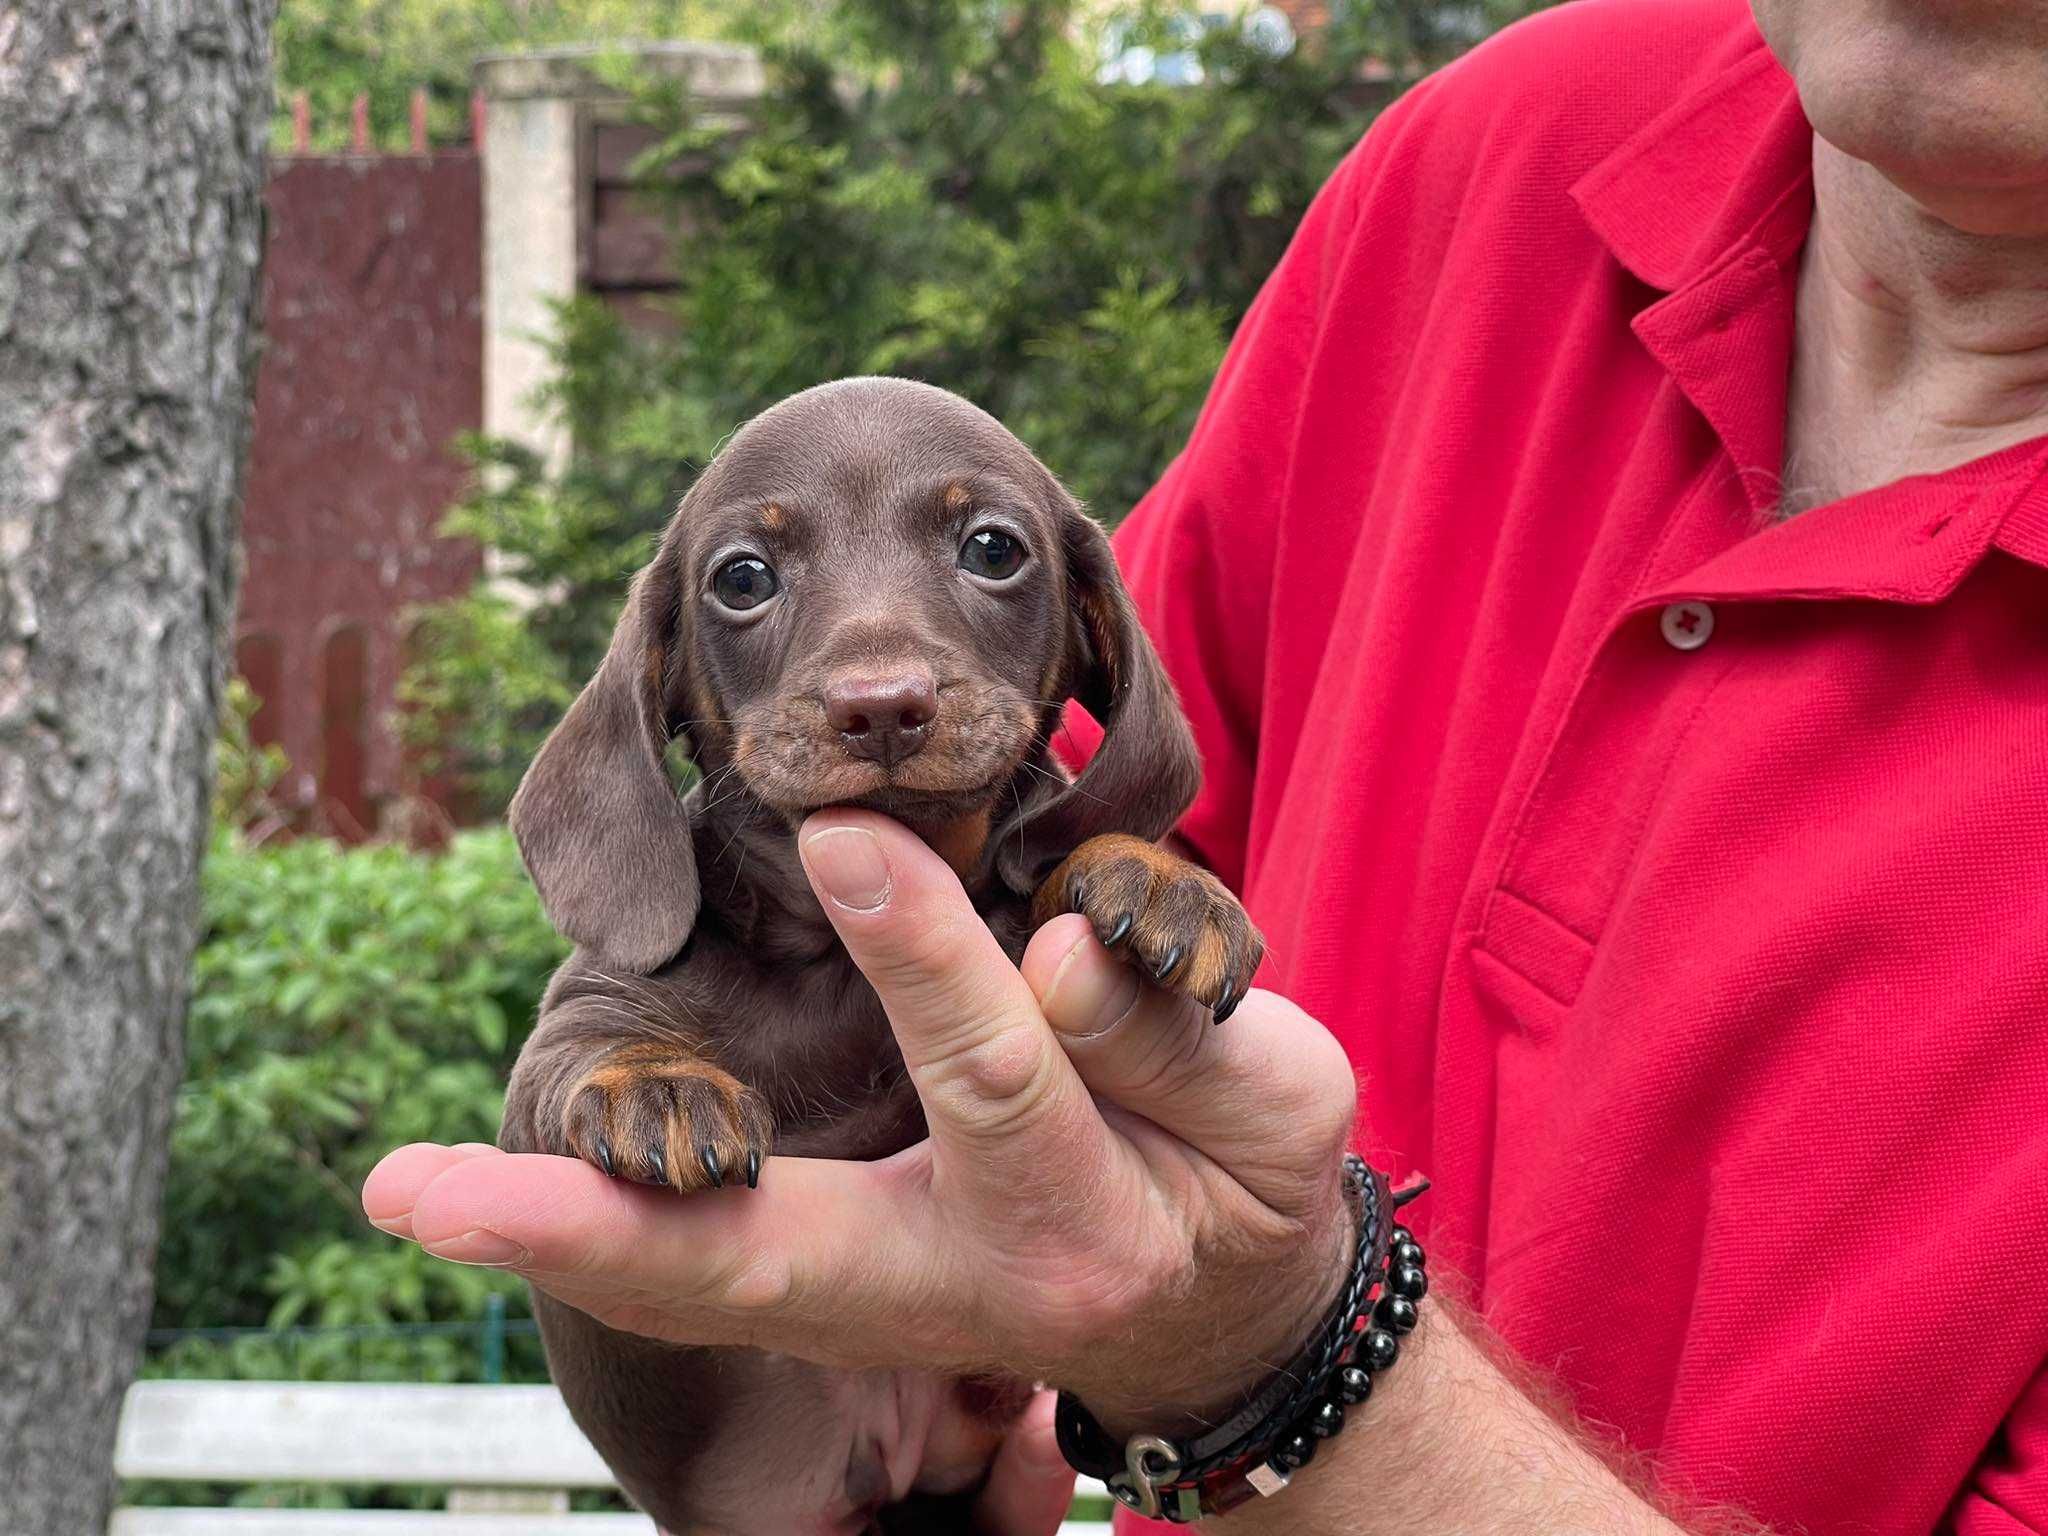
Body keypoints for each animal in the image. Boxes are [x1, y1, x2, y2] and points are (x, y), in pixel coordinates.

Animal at [499, 376, 1261, 1536]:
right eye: (742, 577)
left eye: (992, 548)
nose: (882, 707)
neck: (838, 965)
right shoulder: (576, 1018)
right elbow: (590, 1050)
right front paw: (655, 1086)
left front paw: (1149, 871)